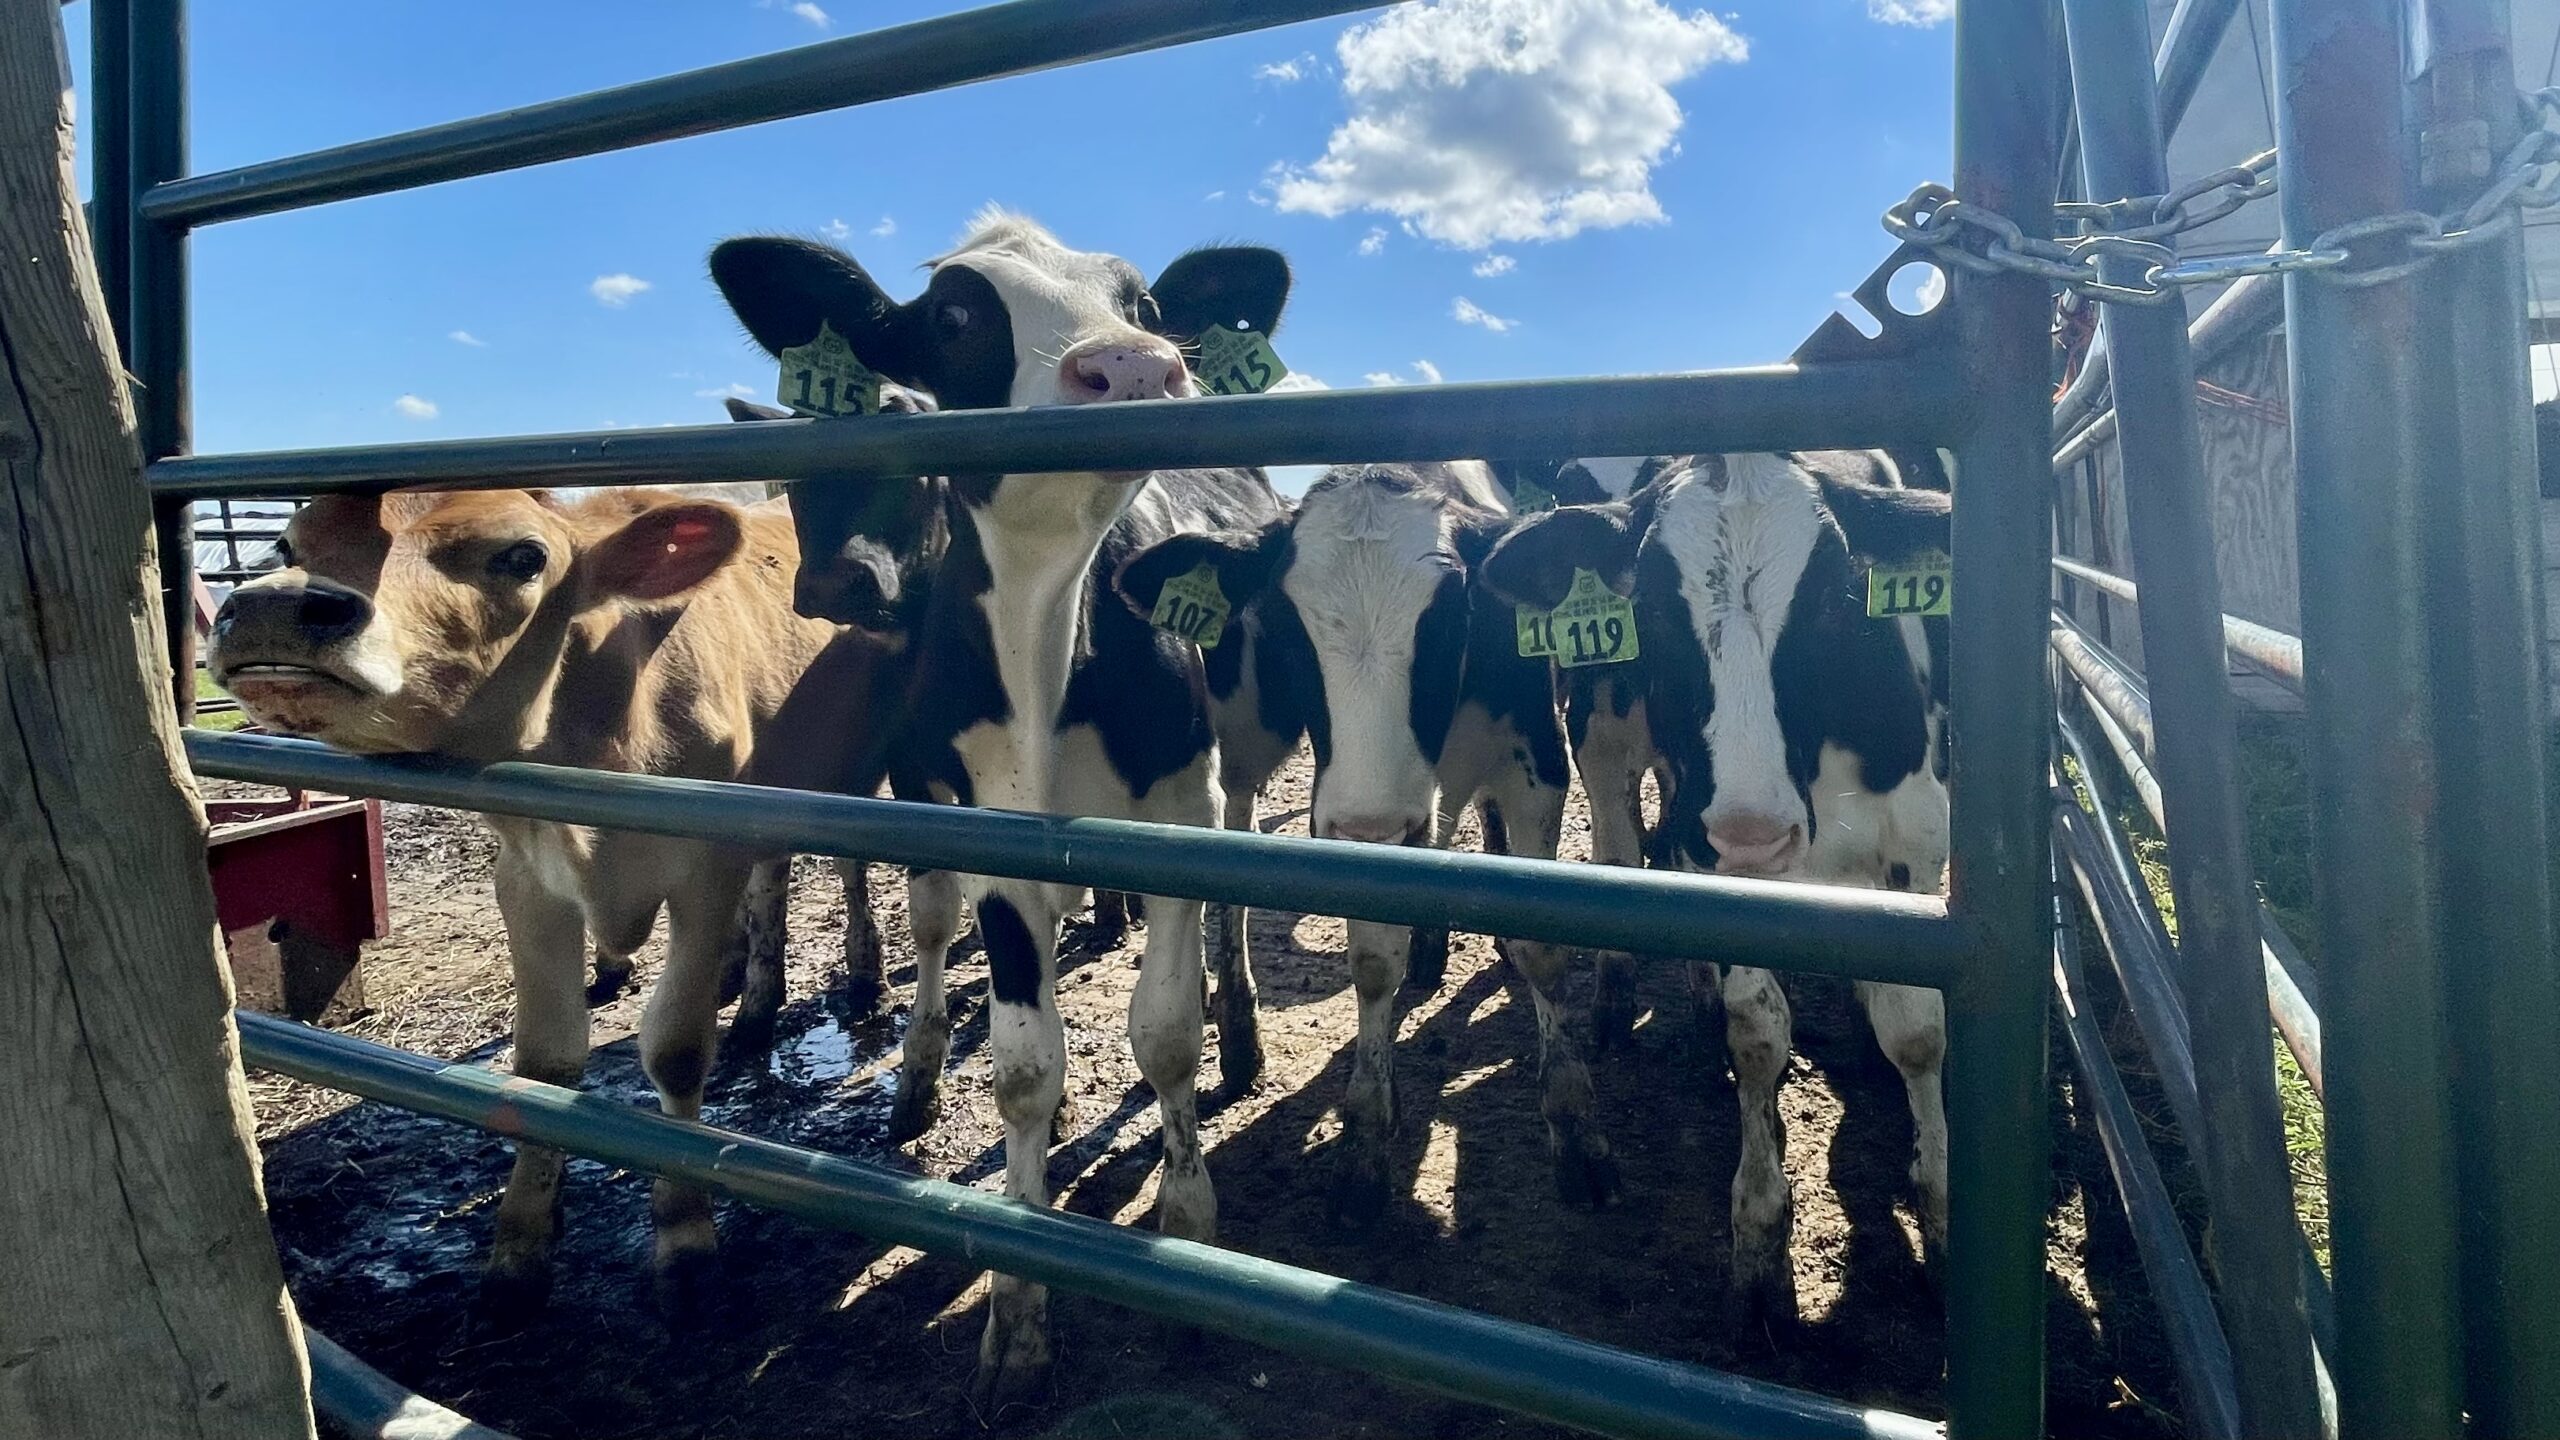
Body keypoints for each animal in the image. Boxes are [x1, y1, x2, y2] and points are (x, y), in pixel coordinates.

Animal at [199, 484, 885, 1322]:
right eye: (290, 546)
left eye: (523, 556)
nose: (273, 606)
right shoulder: (527, 885)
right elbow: (545, 1063)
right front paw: (521, 1245)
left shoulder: (702, 873)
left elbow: (676, 1050)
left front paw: (685, 1236)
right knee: (773, 874)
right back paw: (754, 999)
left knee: (847, 867)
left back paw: (860, 972)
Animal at [1111, 461, 1607, 1219]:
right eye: (1285, 625)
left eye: (1453, 614)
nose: (1374, 825)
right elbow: (1374, 967)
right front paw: (1367, 1136)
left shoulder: (1539, 767)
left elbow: (1543, 950)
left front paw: (1575, 1126)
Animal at [1474, 448, 1945, 1322]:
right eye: (1653, 609)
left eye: (1833, 602)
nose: (1751, 832)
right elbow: (1756, 1031)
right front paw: (1759, 1242)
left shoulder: (1918, 847)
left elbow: (1917, 1033)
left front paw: (1940, 1211)